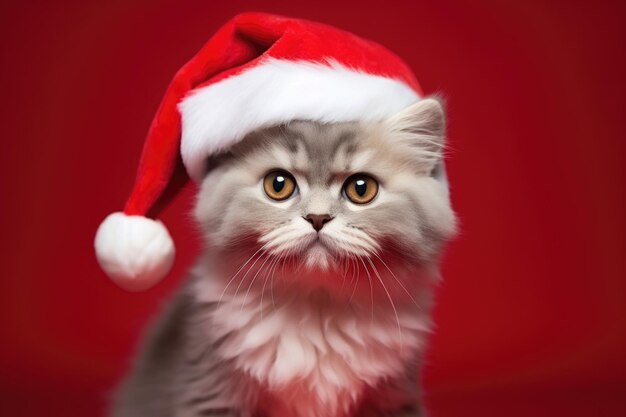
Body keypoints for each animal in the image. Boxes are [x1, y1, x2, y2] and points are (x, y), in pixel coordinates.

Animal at [111, 97, 454, 416]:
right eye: (279, 185)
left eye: (361, 189)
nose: (318, 218)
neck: (318, 309)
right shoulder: (209, 391)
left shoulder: (395, 398)